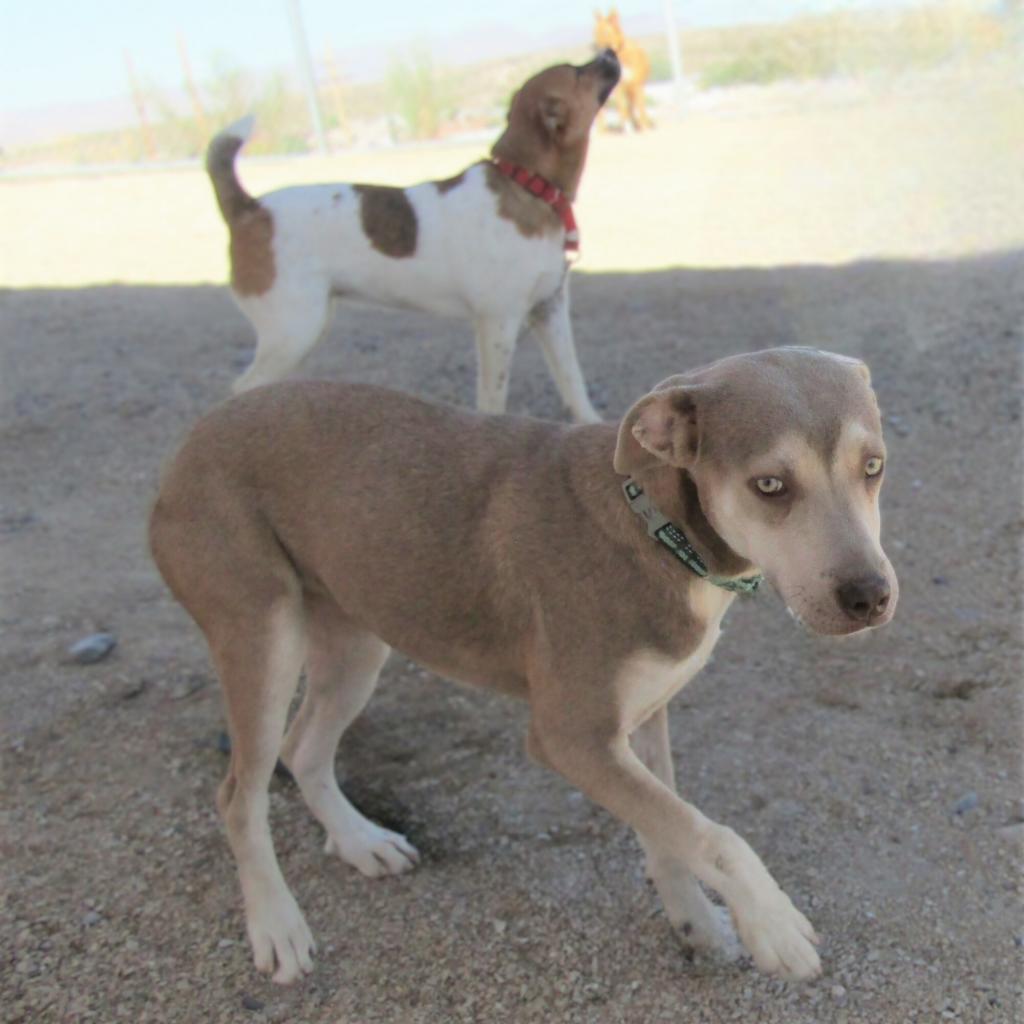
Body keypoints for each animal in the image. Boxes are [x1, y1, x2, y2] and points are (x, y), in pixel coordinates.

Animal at [149, 344, 897, 983]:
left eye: (874, 467)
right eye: (769, 484)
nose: (870, 596)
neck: (659, 531)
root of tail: (191, 438)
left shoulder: (640, 719)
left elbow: (668, 831)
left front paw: (698, 926)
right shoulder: (570, 736)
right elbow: (711, 834)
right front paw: (773, 923)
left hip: (358, 638)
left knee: (303, 748)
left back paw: (360, 841)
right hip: (262, 638)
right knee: (238, 795)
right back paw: (277, 926)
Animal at [204, 50, 618, 419]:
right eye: (578, 72)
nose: (611, 52)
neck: (526, 184)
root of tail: (249, 208)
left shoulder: (550, 310)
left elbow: (572, 380)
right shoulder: (498, 321)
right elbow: (493, 397)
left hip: (306, 328)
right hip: (293, 330)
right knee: (243, 387)